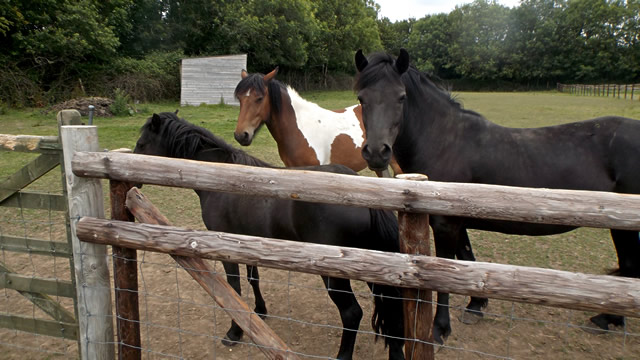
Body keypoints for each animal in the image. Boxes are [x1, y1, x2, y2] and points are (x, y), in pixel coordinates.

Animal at [134, 111, 404, 358]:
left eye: (142, 143)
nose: (135, 181)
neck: (225, 180)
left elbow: (234, 287)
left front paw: (234, 332)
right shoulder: (248, 243)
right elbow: (253, 279)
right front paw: (259, 311)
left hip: (336, 275)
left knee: (351, 313)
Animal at [352, 47, 640, 344]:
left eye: (401, 97)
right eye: (362, 98)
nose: (377, 152)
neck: (446, 142)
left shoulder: (445, 224)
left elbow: (444, 273)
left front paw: (440, 328)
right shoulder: (457, 222)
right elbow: (467, 260)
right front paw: (476, 305)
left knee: (630, 266)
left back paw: (607, 319)